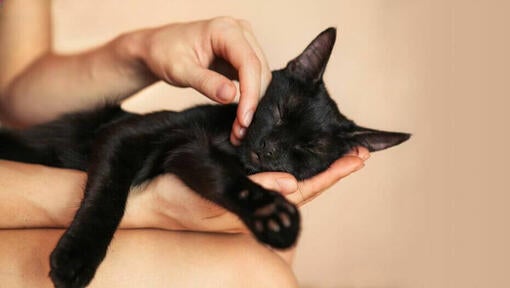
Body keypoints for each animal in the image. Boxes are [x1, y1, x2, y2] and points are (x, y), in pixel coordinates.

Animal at [0, 27, 406, 288]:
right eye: (280, 113)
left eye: (309, 149)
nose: (270, 149)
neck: (226, 143)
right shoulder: (126, 135)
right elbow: (108, 196)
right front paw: (75, 258)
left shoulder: (190, 154)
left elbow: (224, 177)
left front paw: (270, 216)